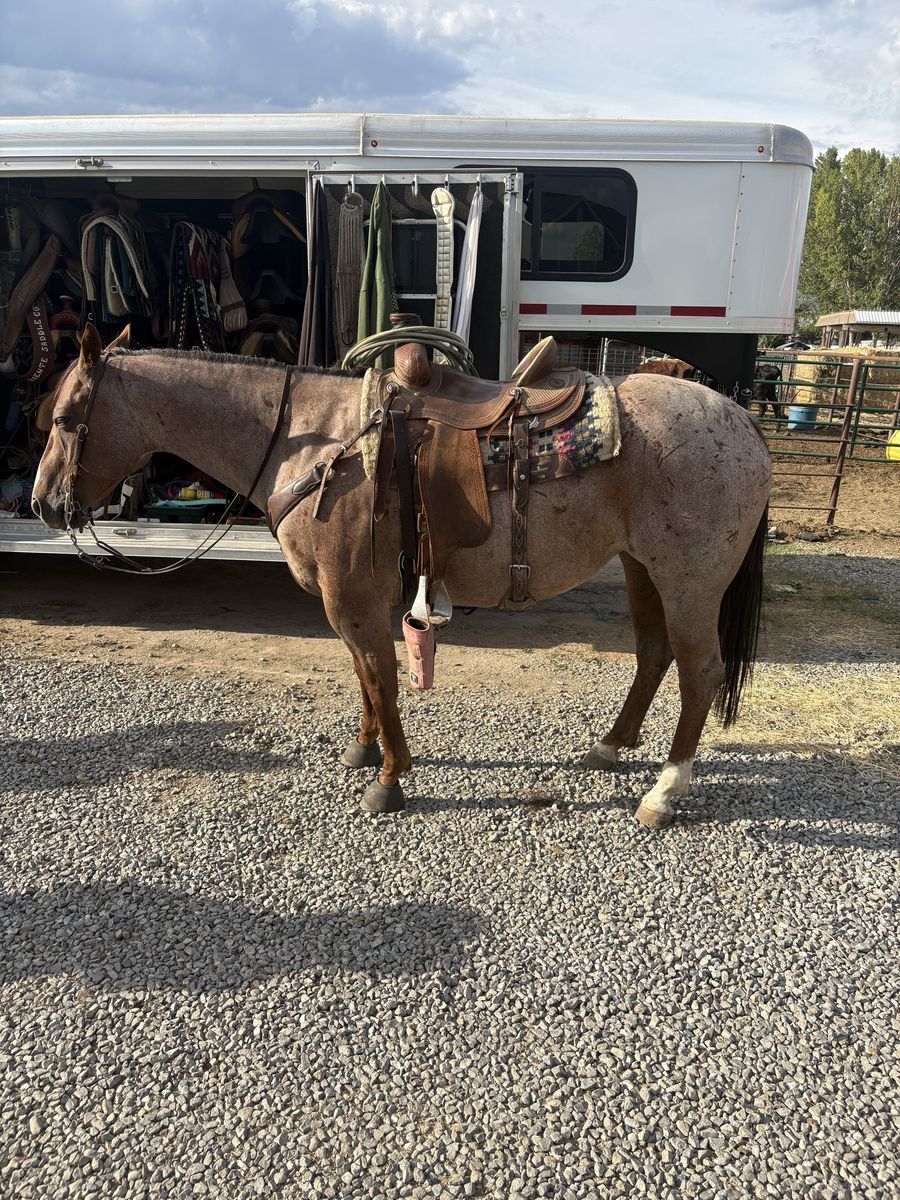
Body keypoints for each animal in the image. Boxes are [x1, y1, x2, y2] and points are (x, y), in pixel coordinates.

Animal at [32, 325, 771, 829]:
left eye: (66, 419)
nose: (41, 503)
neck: (315, 440)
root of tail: (741, 420)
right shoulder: (351, 600)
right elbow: (365, 675)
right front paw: (364, 753)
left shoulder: (352, 597)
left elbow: (381, 677)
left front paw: (388, 780)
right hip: (642, 566)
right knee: (652, 655)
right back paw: (609, 748)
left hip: (690, 579)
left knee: (700, 671)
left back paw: (663, 793)